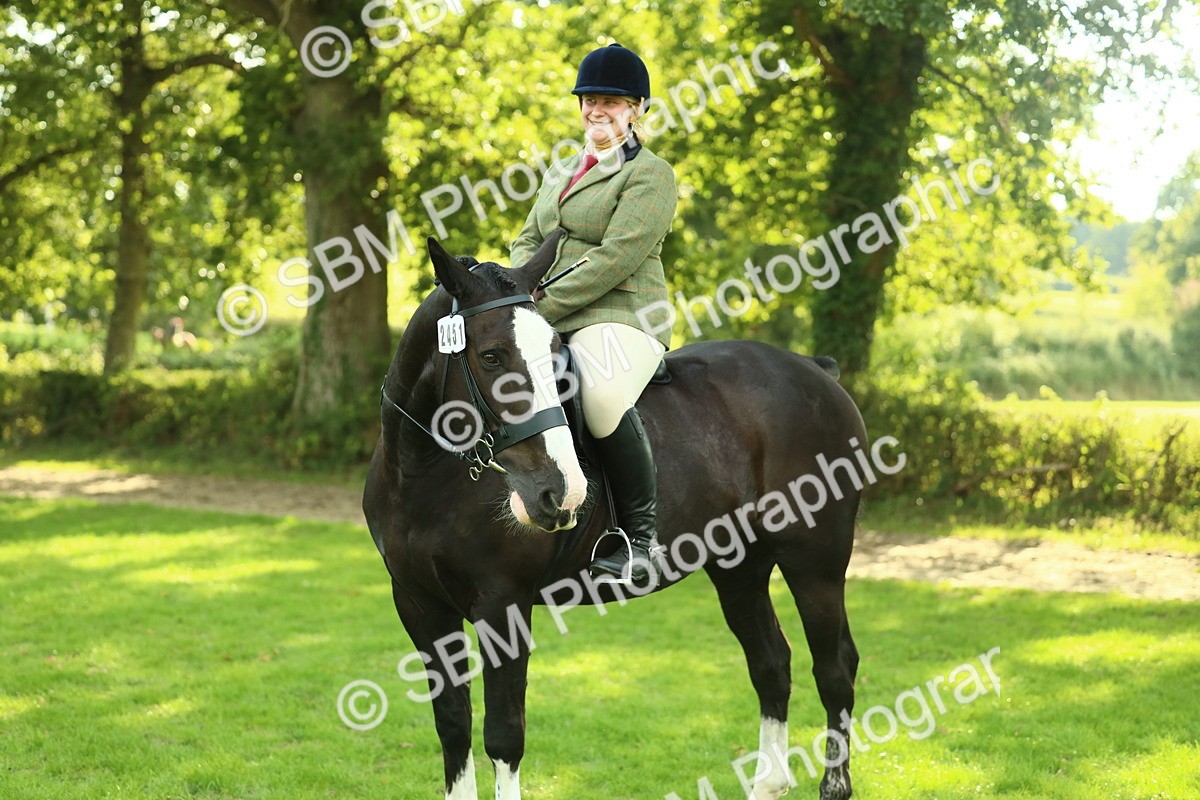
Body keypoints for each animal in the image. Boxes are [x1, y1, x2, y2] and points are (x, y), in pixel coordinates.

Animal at [362, 233, 868, 800]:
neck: (423, 473)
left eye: (555, 354)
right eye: (490, 357)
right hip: (739, 566)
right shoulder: (420, 606)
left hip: (815, 561)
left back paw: (834, 784)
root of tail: (815, 371)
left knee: (835, 666)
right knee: (771, 663)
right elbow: (452, 727)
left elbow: (503, 736)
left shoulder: (503, 606)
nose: (560, 493)